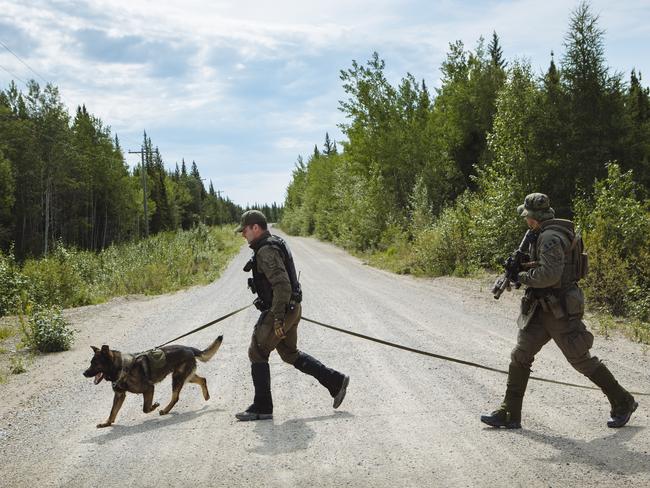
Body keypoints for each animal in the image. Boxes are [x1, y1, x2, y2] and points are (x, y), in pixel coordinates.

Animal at [83, 336, 223, 428]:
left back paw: (165, 410)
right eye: (91, 363)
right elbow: (112, 411)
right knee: (202, 379)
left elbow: (145, 408)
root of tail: (189, 348)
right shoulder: (119, 395)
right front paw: (106, 423)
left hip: (177, 378)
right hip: (185, 376)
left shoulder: (149, 388)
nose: (84, 373)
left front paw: (154, 406)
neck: (120, 367)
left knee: (176, 397)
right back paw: (206, 395)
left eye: (96, 363)